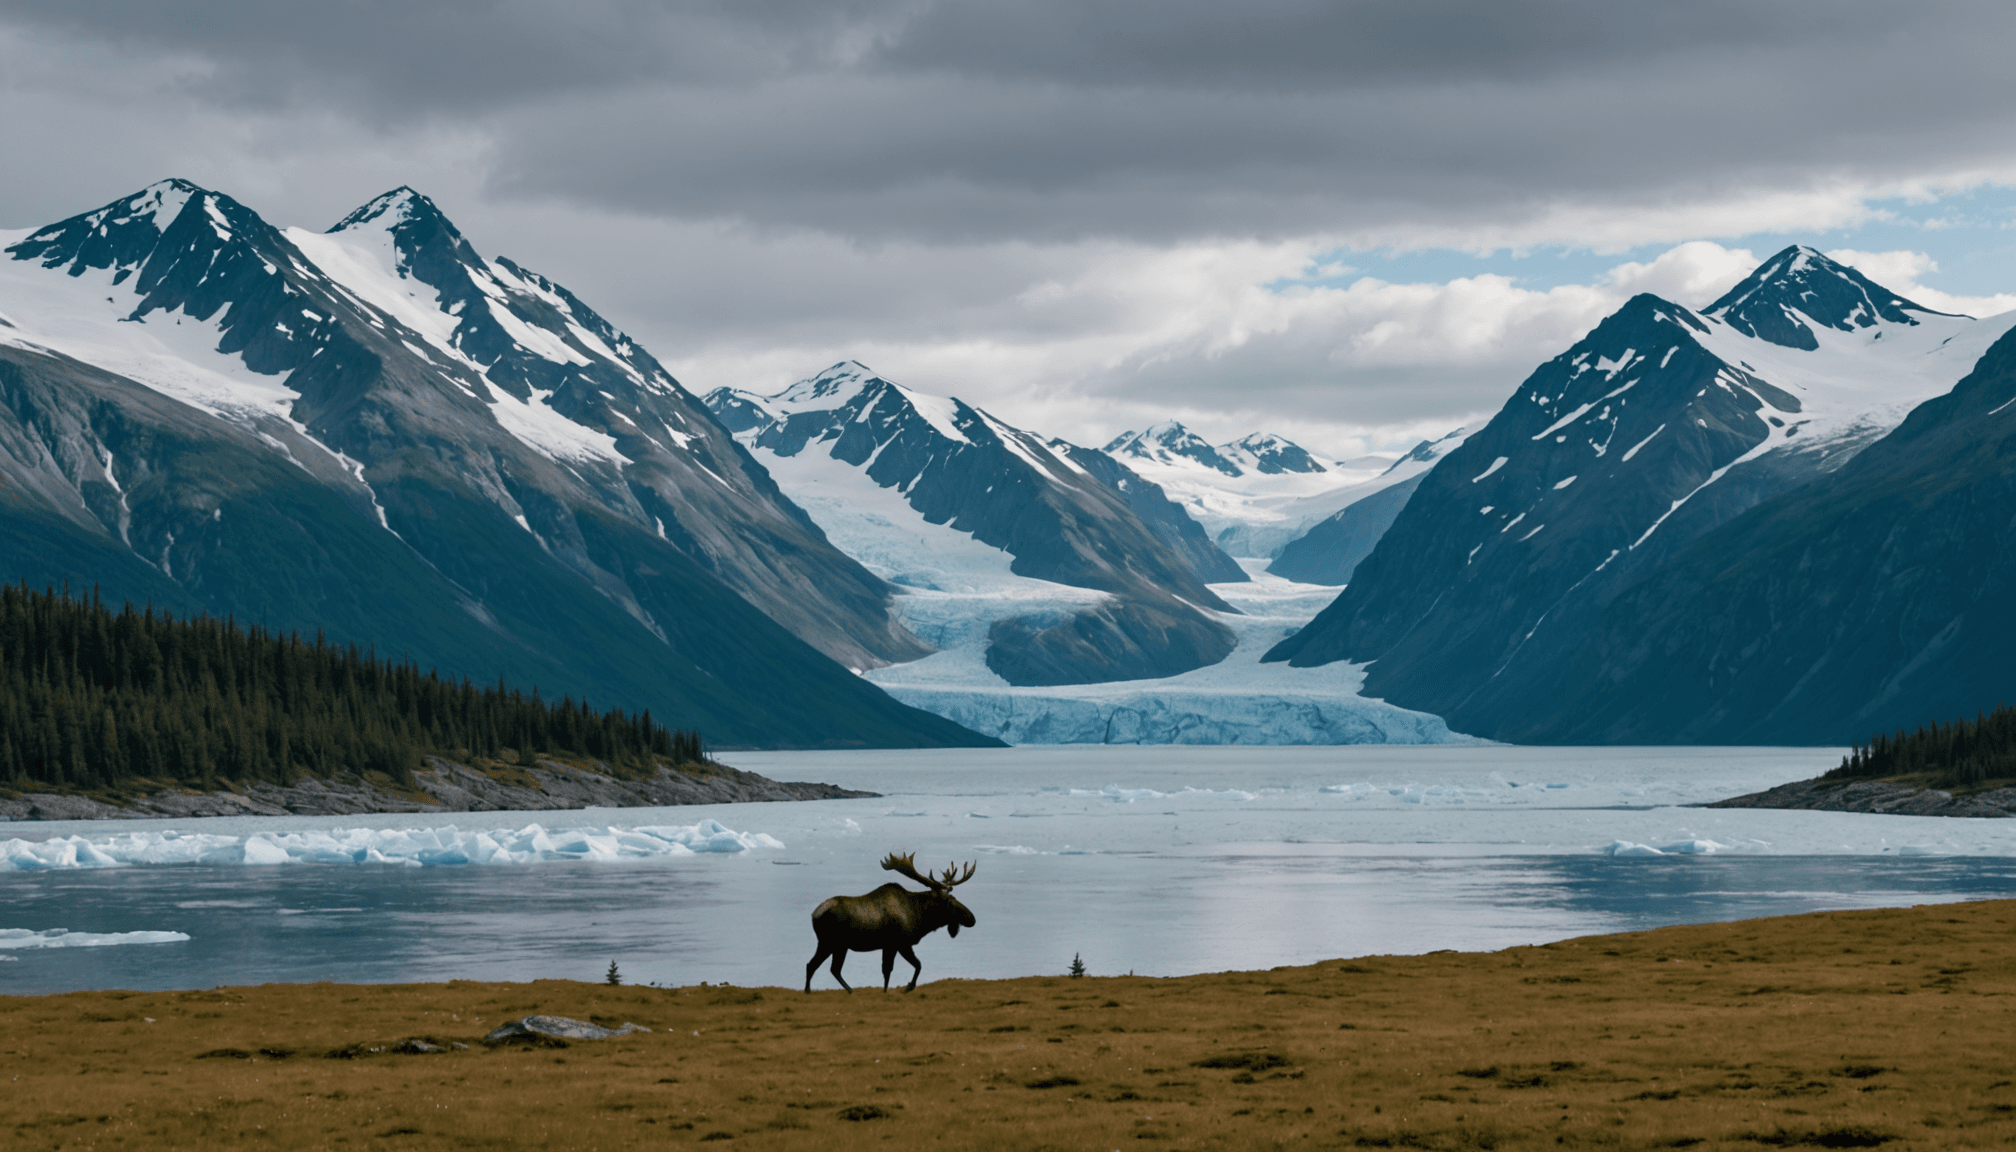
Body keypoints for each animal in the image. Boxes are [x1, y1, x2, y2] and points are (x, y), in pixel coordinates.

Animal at [804, 852, 977, 993]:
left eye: (954, 897)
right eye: (948, 901)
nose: (971, 918)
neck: (919, 916)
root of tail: (814, 914)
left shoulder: (890, 946)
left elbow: (889, 971)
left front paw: (888, 991)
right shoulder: (899, 943)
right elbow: (913, 965)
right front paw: (906, 987)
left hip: (838, 945)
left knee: (830, 968)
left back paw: (846, 991)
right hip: (830, 942)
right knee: (816, 965)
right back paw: (812, 991)